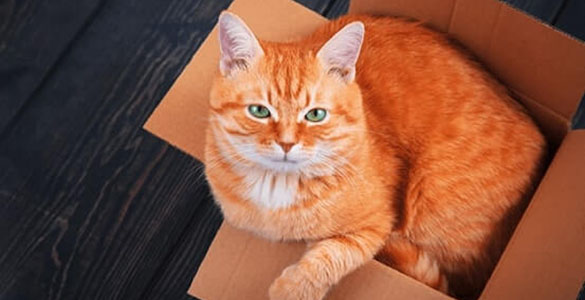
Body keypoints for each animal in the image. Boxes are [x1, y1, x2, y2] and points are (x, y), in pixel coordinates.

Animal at [203, 11, 544, 300]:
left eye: (315, 115)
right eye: (260, 111)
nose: (287, 143)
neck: (275, 189)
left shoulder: (377, 224)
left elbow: (335, 253)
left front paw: (293, 289)